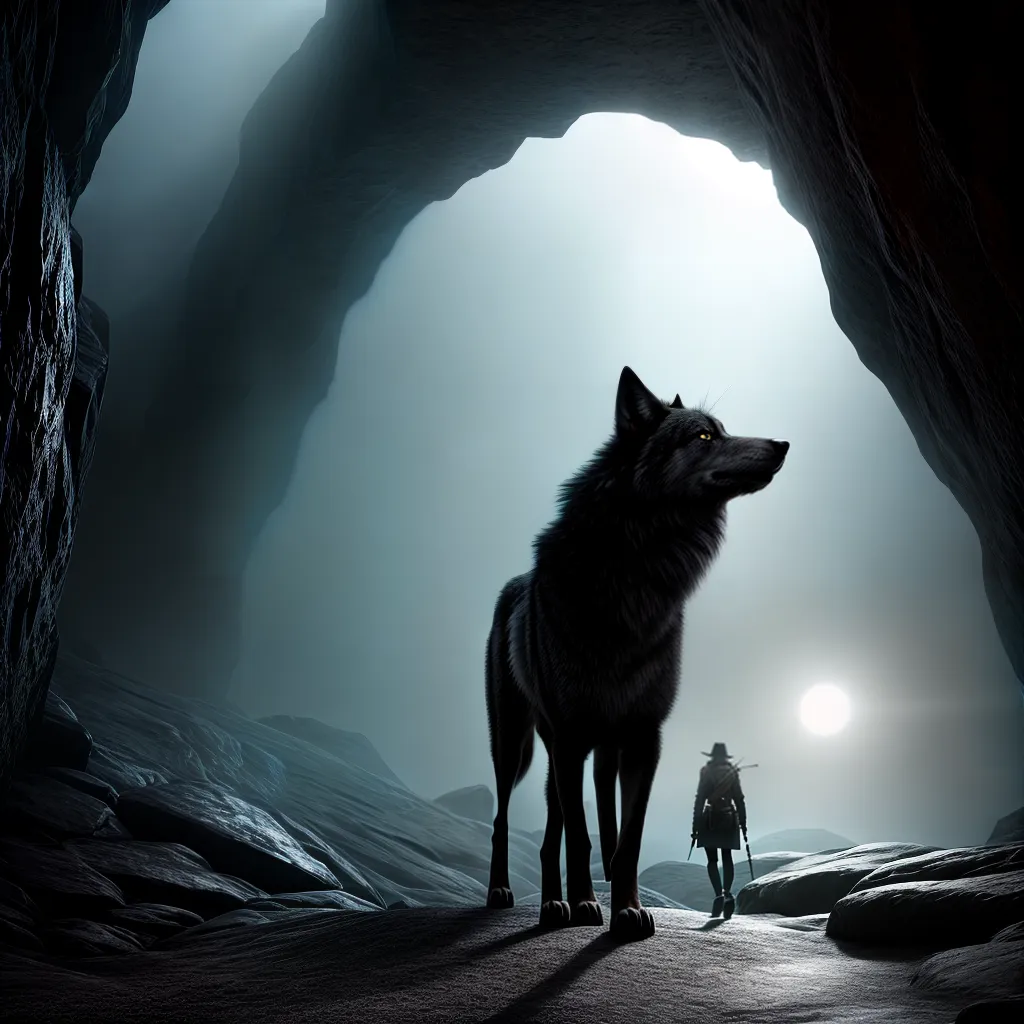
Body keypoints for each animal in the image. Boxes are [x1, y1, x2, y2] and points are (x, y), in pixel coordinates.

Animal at [484, 366, 789, 941]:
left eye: (721, 429)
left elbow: (627, 839)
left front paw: (626, 911)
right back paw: (509, 896)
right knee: (506, 820)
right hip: (517, 746)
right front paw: (587, 905)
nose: (782, 443)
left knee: (556, 831)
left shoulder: (645, 738)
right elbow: (584, 837)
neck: (635, 573)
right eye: (704, 435)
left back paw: (553, 903)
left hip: (584, 752)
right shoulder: (572, 735)